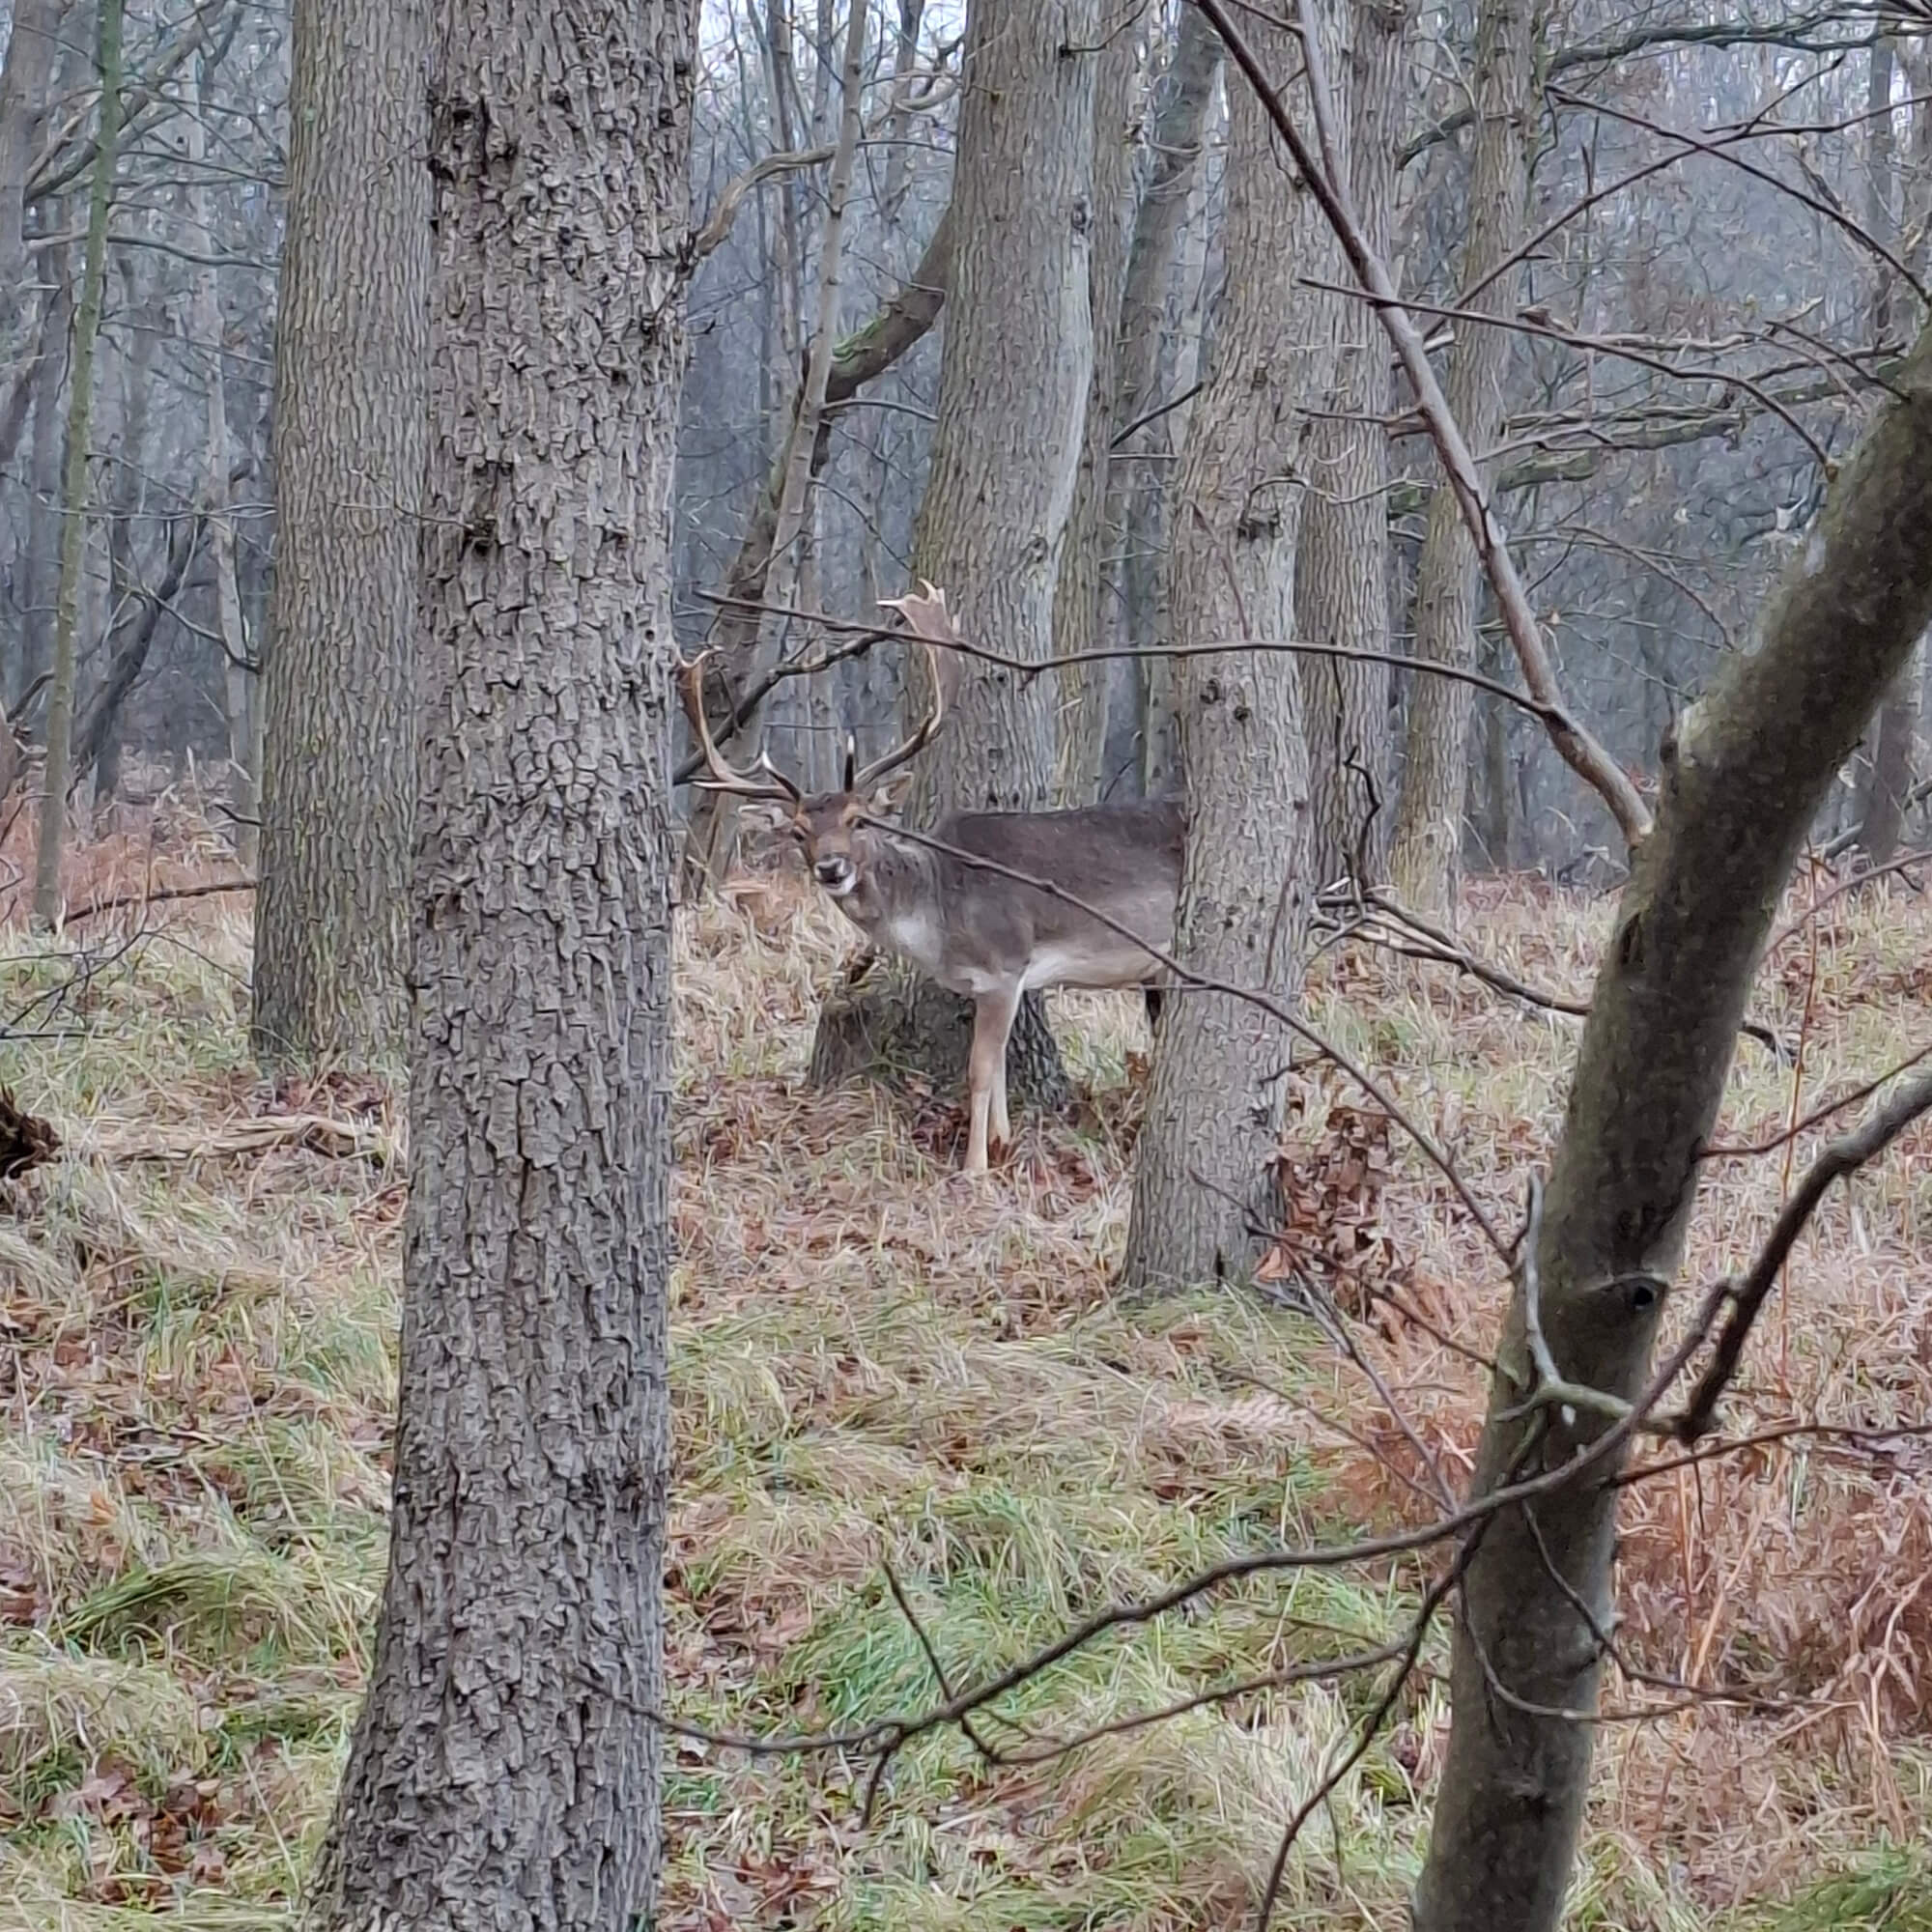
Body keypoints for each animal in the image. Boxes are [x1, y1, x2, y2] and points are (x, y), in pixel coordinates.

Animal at [678, 584, 1184, 1175]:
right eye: (800, 832)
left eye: (859, 820)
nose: (831, 867)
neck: (940, 916)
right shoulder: (995, 984)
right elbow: (1000, 1069)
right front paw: (1002, 1146)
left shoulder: (1006, 964)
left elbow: (980, 1070)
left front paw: (975, 1169)